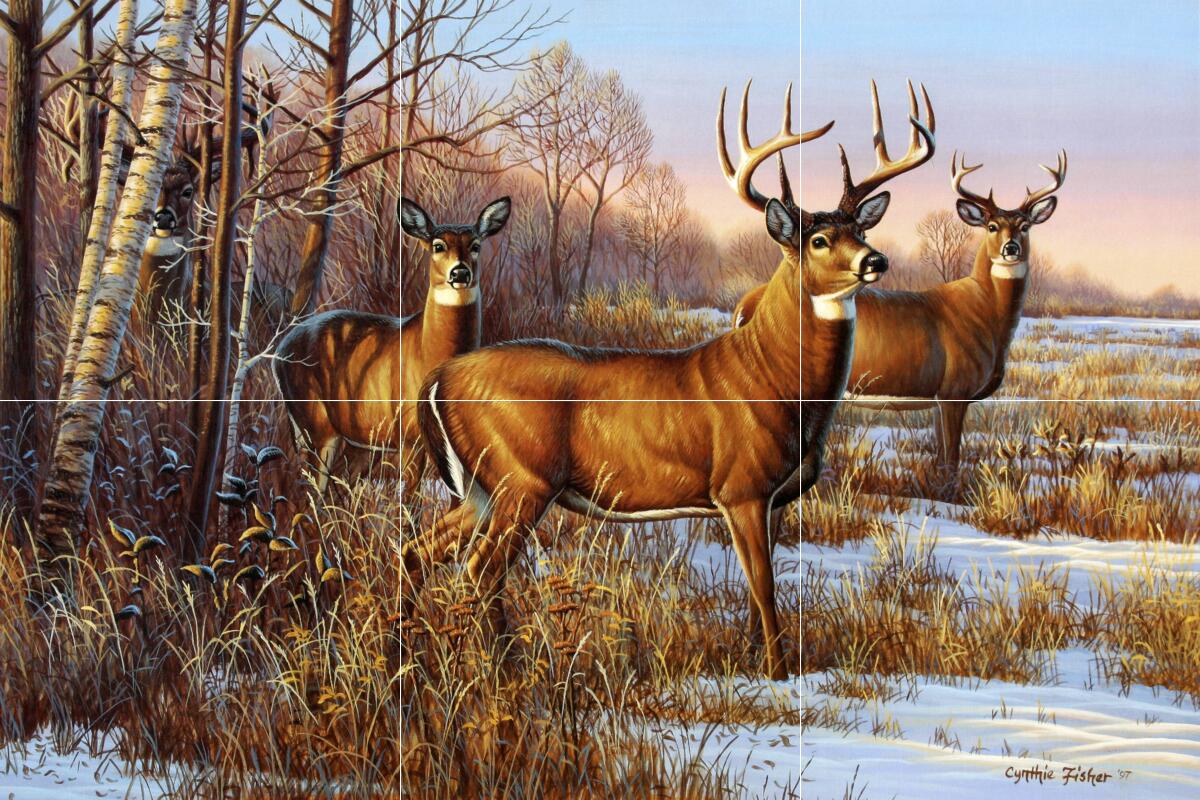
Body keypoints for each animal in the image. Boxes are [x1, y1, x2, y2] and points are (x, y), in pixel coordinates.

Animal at [272, 195, 511, 493]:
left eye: (475, 245)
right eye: (438, 245)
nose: (460, 273)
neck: (428, 351)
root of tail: (279, 352)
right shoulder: (408, 434)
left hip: (357, 437)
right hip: (315, 421)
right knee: (309, 487)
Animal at [400, 82, 935, 679]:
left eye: (861, 228)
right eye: (818, 240)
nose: (876, 260)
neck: (777, 381)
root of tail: (439, 378)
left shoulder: (774, 498)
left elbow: (759, 591)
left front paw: (753, 661)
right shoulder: (740, 486)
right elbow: (765, 588)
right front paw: (778, 674)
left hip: (481, 487)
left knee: (419, 551)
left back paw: (415, 651)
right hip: (522, 478)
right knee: (480, 569)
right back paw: (505, 670)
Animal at [843, 150, 1066, 483]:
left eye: (1025, 225)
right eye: (991, 225)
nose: (1011, 247)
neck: (987, 315)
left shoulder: (939, 398)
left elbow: (940, 458)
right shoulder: (955, 390)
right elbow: (951, 460)